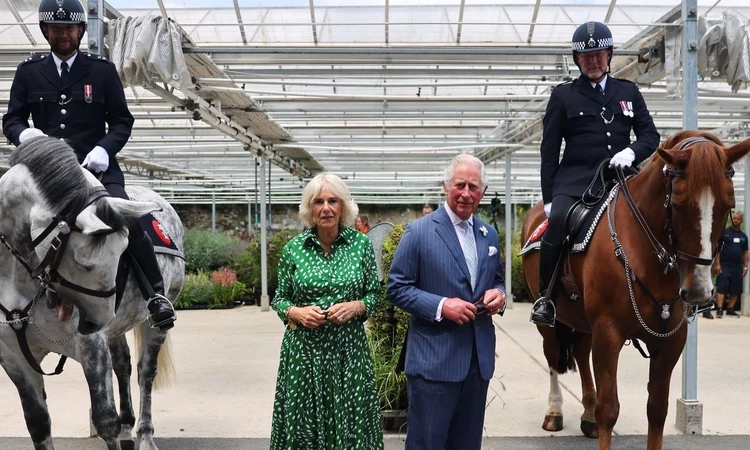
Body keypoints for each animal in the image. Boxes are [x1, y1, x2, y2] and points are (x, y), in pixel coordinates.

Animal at [0, 138, 185, 450]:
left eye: (125, 250)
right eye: (84, 263)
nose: (93, 323)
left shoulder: (91, 348)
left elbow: (105, 419)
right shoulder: (13, 356)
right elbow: (38, 422)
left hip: (155, 319)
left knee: (145, 371)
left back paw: (145, 435)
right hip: (116, 327)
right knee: (122, 364)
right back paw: (128, 429)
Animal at [524, 131, 750, 450]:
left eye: (728, 204)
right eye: (677, 204)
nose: (698, 291)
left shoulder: (671, 341)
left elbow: (657, 409)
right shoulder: (608, 332)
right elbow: (610, 408)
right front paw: (595, 415)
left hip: (584, 320)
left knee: (580, 352)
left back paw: (587, 415)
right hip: (550, 319)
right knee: (553, 354)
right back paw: (555, 412)